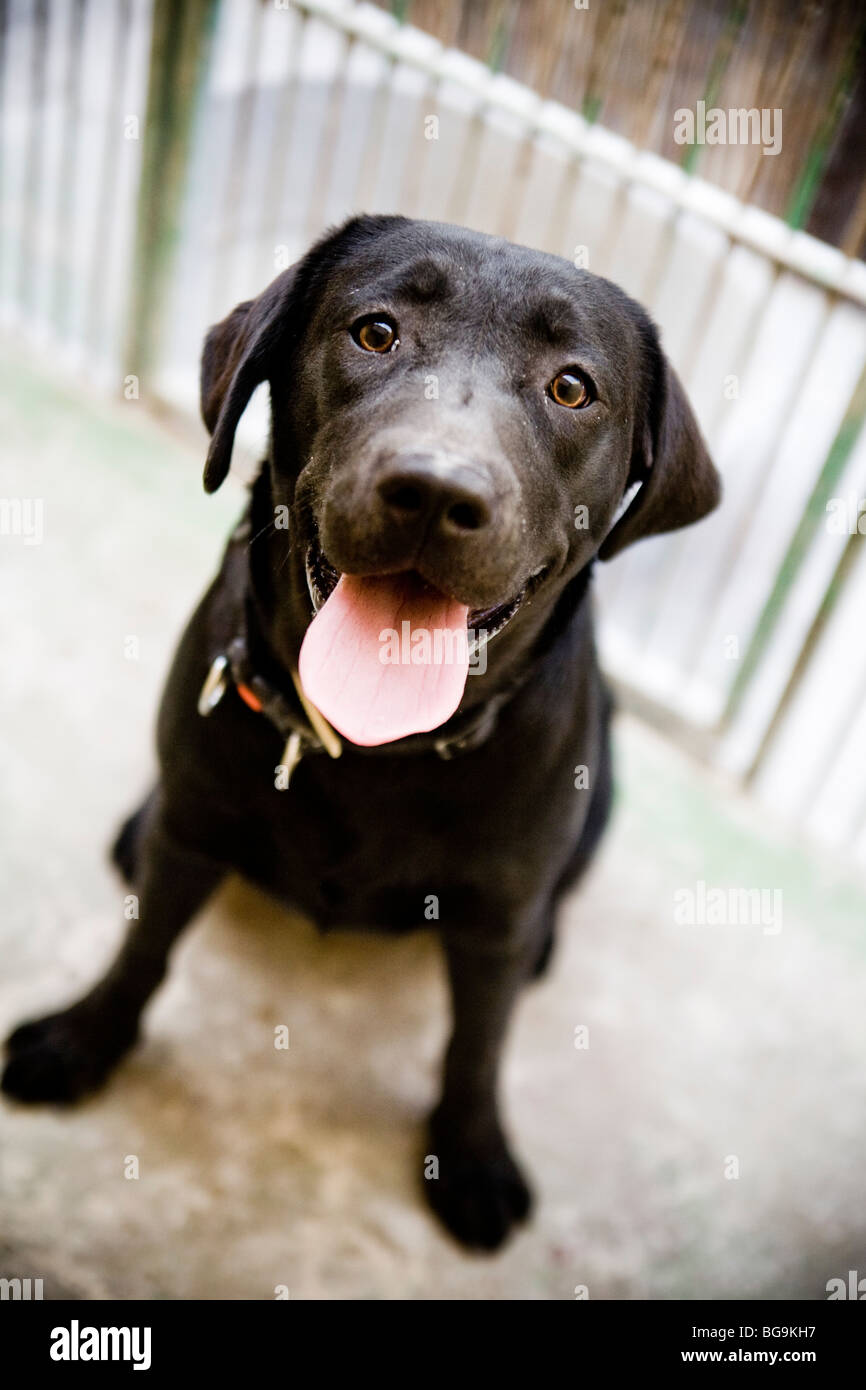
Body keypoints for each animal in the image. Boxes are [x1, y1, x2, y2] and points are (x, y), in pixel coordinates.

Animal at [1, 216, 717, 1251]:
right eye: (374, 332)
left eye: (572, 387)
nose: (435, 490)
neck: (380, 749)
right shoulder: (196, 825)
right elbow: (142, 951)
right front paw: (82, 1039)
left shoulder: (493, 920)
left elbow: (477, 1044)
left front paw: (472, 1154)